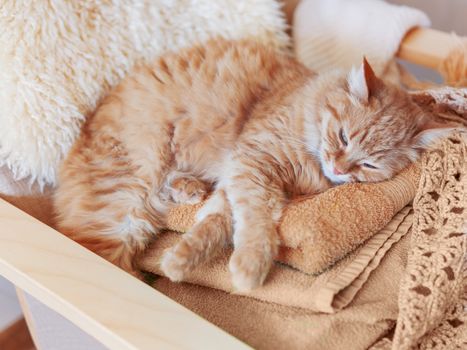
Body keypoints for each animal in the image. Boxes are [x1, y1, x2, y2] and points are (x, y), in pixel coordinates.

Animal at [53, 38, 456, 292]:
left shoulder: (241, 175)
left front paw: (182, 260)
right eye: (343, 137)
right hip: (125, 206)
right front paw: (249, 266)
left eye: (369, 165)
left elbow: (219, 222)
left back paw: (188, 190)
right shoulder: (254, 163)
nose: (340, 169)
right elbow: (256, 223)